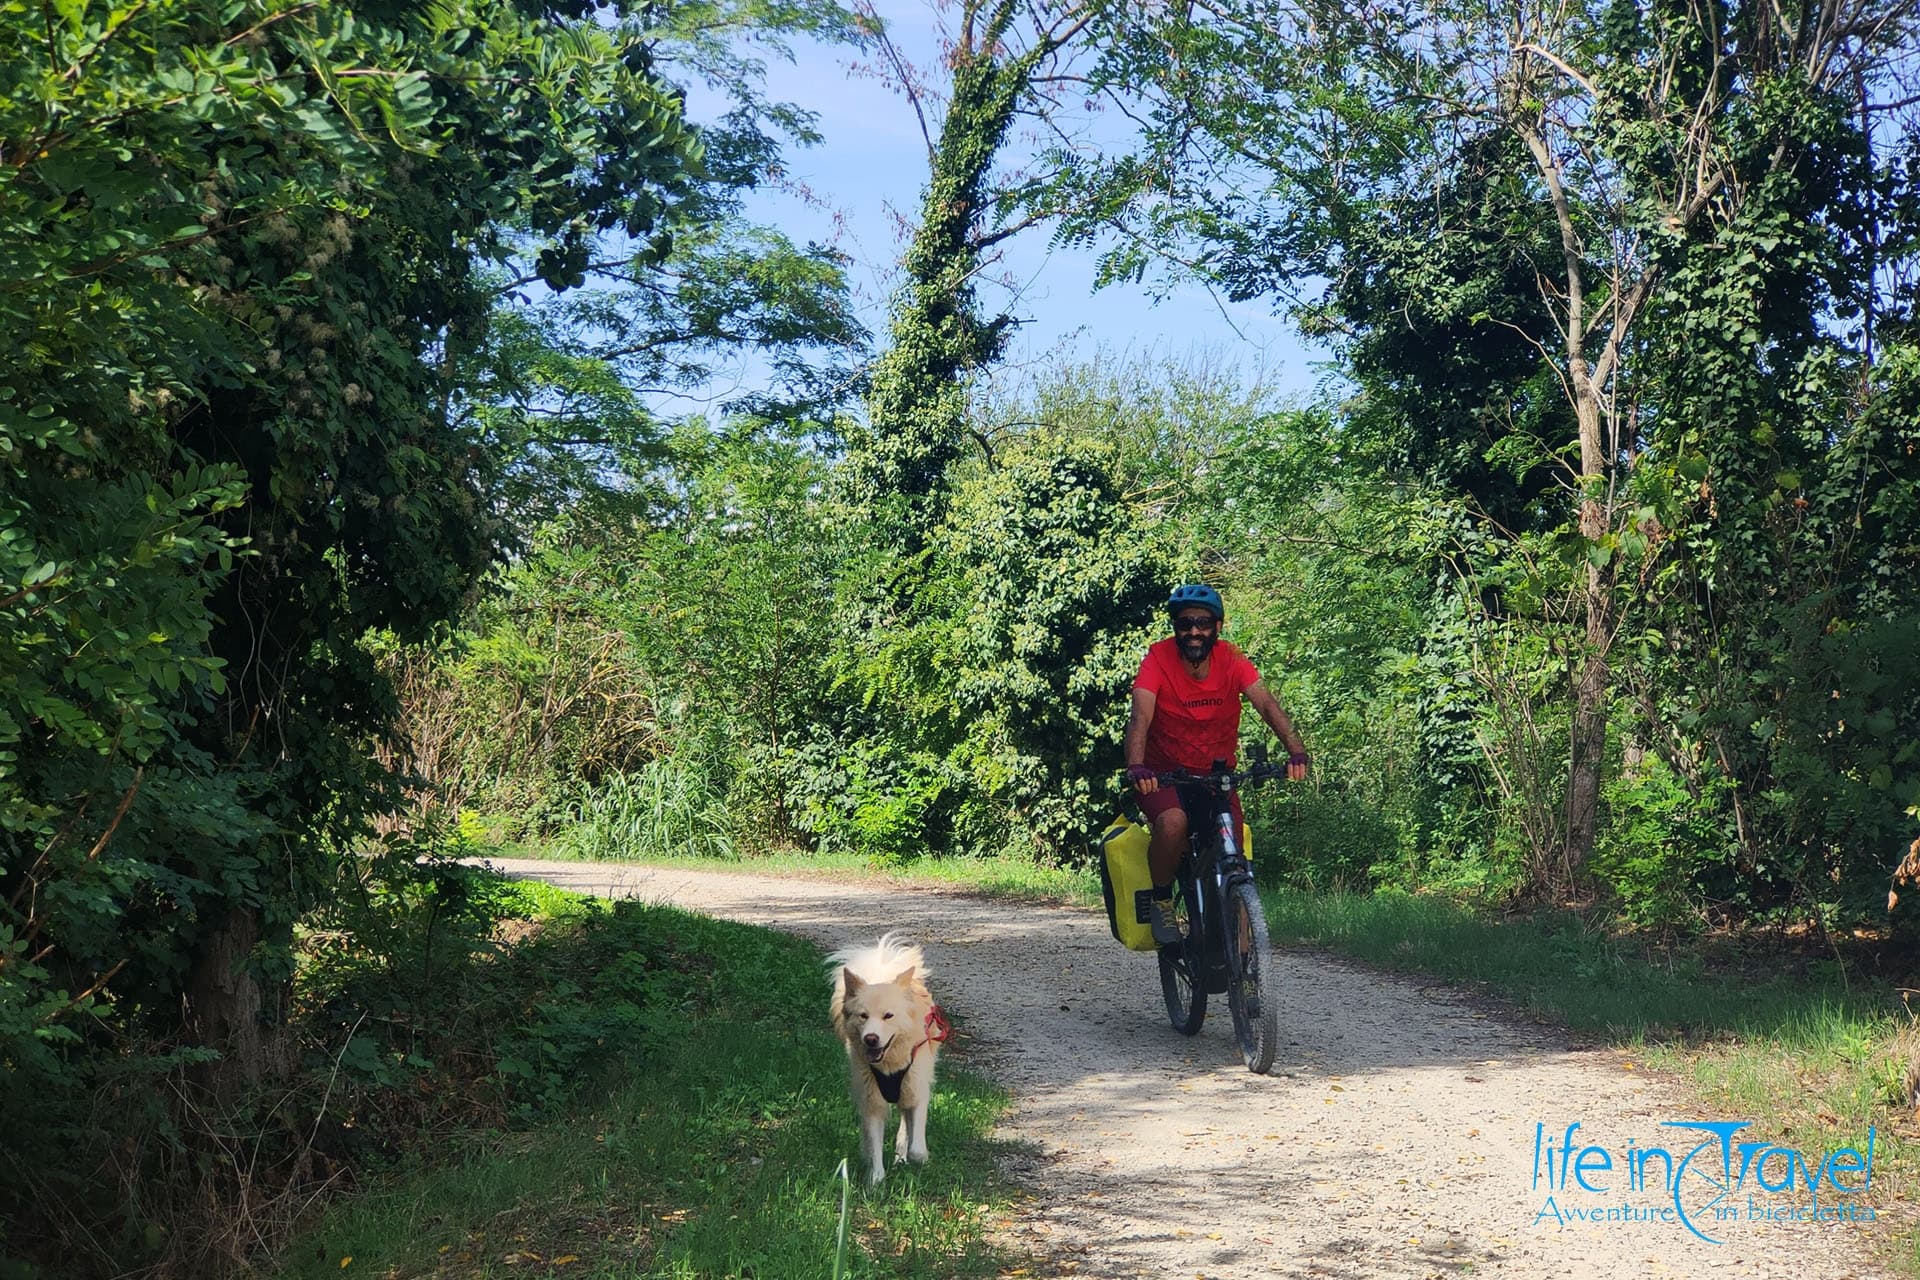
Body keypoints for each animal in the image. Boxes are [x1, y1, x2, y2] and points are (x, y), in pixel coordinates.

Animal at [825, 936, 944, 1189]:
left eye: (888, 1016)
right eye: (863, 1016)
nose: (871, 1039)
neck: (889, 1065)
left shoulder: (917, 1092)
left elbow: (917, 1146)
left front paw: (917, 1158)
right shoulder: (872, 1101)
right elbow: (874, 1143)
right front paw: (876, 1181)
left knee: (905, 1124)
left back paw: (901, 1156)